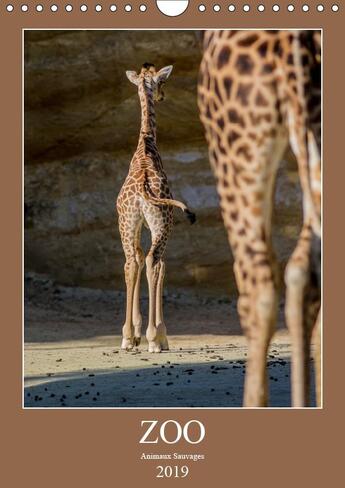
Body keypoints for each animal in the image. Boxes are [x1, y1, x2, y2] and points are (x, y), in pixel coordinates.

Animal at [116, 63, 195, 350]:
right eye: (162, 82)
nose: (162, 96)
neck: (147, 143)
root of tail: (142, 191)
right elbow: (159, 267)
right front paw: (158, 335)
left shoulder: (137, 225)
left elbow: (137, 260)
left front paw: (136, 333)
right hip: (163, 223)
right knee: (155, 262)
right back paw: (155, 338)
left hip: (126, 223)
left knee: (131, 262)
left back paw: (127, 337)